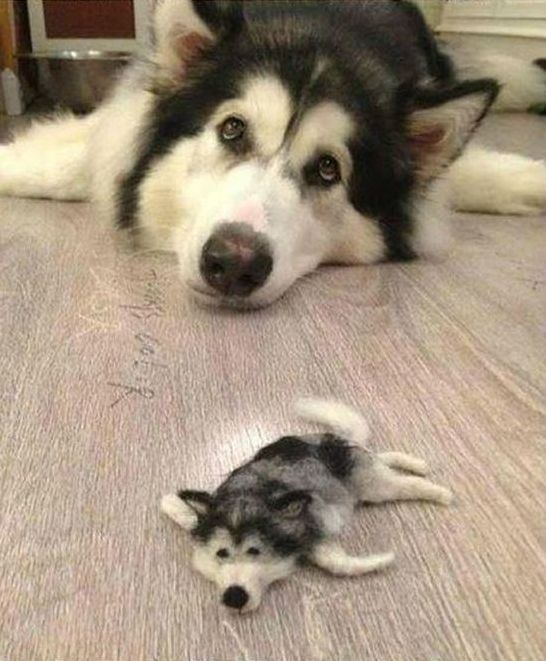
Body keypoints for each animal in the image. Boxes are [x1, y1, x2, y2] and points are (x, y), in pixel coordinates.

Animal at [1, 0, 544, 310]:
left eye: (328, 169)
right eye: (232, 129)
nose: (233, 263)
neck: (323, 29)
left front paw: (530, 179)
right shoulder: (119, 119)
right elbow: (68, 160)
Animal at [162, 402, 450, 612]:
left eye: (255, 551)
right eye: (221, 553)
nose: (234, 597)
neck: (249, 494)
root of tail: (324, 439)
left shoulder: (316, 525)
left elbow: (336, 563)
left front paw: (382, 561)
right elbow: (171, 504)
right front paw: (173, 503)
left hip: (375, 486)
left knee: (407, 483)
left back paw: (440, 491)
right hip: (368, 481)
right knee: (382, 457)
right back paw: (417, 463)